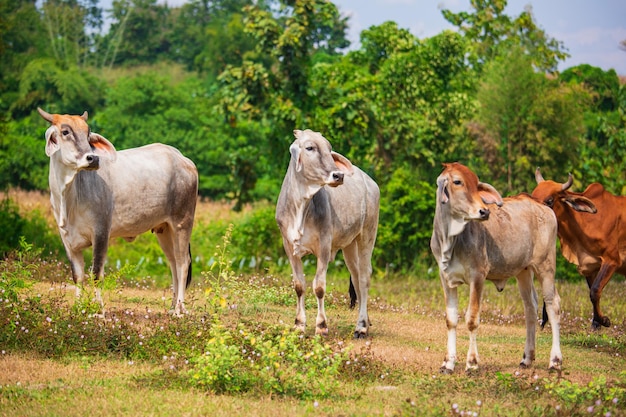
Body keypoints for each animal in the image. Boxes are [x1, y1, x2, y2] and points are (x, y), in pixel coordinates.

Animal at [37, 107, 197, 316]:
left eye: (88, 134)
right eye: (65, 132)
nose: (93, 158)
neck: (69, 196)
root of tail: (183, 159)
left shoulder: (101, 232)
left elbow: (96, 273)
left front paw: (99, 310)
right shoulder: (67, 239)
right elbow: (78, 276)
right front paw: (78, 308)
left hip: (182, 223)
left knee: (182, 262)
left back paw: (179, 308)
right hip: (164, 229)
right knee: (173, 263)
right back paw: (172, 307)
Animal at [276, 129, 378, 338]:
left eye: (329, 148)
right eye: (310, 147)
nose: (338, 175)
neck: (301, 207)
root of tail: (371, 183)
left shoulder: (324, 246)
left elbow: (319, 287)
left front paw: (321, 326)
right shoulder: (289, 247)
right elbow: (299, 285)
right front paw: (299, 324)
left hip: (367, 235)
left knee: (364, 277)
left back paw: (361, 326)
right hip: (349, 246)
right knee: (356, 278)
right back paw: (366, 319)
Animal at [428, 162, 560, 370]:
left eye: (476, 184)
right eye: (457, 182)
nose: (485, 211)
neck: (451, 240)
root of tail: (541, 205)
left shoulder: (478, 276)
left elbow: (472, 319)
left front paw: (472, 363)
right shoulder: (446, 278)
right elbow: (451, 320)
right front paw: (448, 363)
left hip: (545, 266)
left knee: (553, 304)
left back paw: (555, 361)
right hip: (524, 272)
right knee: (530, 307)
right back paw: (527, 358)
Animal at [532, 168, 624, 328]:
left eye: (549, 201)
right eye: (532, 195)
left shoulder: (612, 260)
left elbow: (595, 291)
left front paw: (604, 320)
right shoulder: (590, 265)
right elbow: (593, 291)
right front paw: (596, 322)